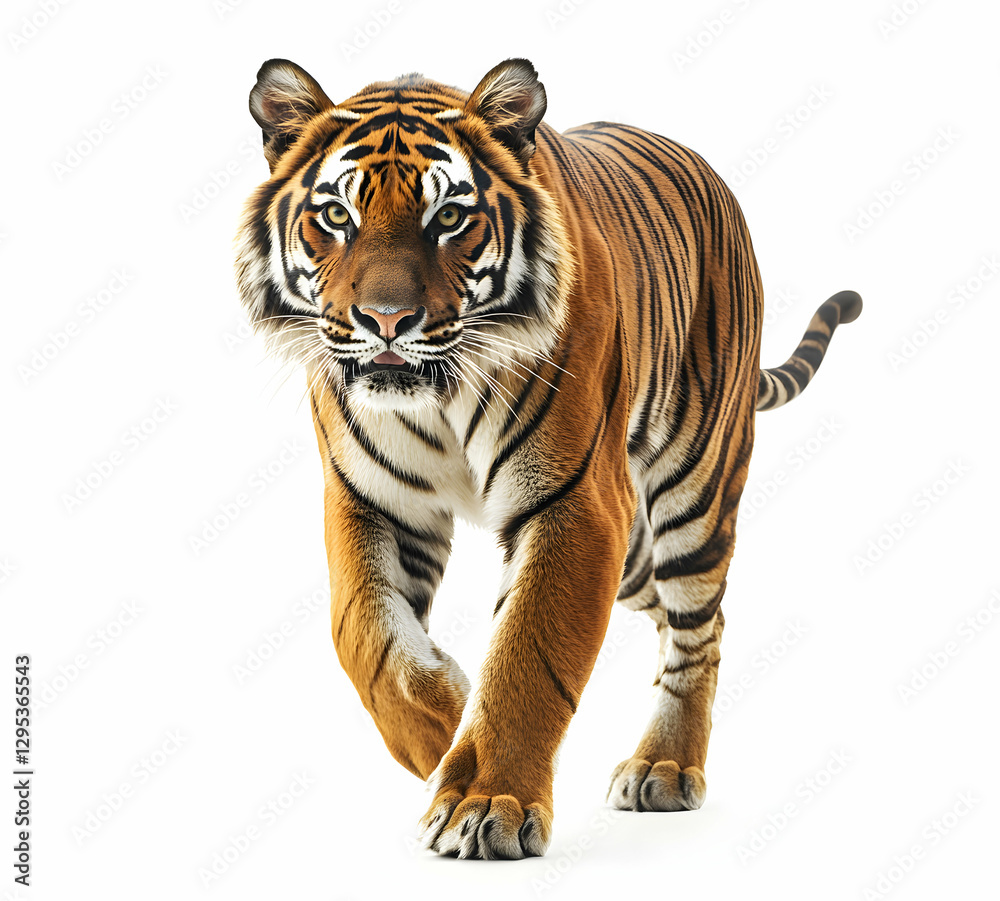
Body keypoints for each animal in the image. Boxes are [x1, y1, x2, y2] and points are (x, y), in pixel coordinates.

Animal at [235, 56, 861, 860]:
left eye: (449, 218)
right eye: (337, 216)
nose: (385, 321)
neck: (436, 394)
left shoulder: (575, 504)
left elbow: (529, 653)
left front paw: (485, 802)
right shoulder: (371, 499)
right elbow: (367, 637)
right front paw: (444, 731)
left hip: (693, 487)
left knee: (701, 625)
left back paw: (666, 765)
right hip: (633, 553)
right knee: (676, 616)